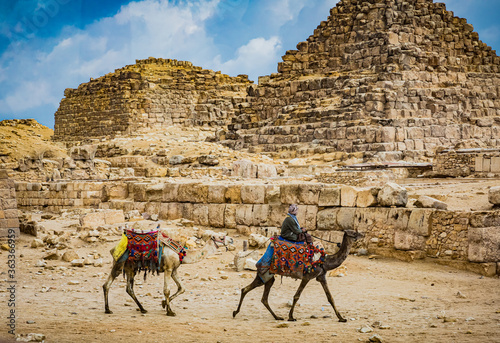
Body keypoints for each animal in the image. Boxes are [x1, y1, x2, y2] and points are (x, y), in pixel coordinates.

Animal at [103, 232, 234, 316]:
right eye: (221, 237)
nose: (232, 239)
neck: (182, 254)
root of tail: (115, 247)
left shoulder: (174, 270)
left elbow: (182, 288)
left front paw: (163, 304)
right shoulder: (168, 268)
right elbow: (167, 290)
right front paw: (170, 311)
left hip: (131, 268)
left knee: (128, 288)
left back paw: (142, 309)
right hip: (120, 263)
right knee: (107, 284)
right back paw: (108, 309)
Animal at [230, 231, 364, 322]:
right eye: (353, 232)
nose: (362, 235)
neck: (325, 261)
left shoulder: (321, 277)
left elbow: (330, 297)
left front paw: (342, 318)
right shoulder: (307, 276)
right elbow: (296, 296)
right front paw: (291, 317)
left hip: (268, 278)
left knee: (260, 296)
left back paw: (276, 317)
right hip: (265, 275)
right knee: (247, 290)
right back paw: (236, 312)